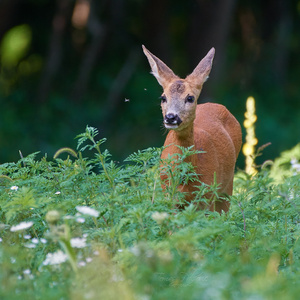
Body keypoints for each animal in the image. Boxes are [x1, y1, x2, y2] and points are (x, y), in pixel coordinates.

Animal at [142, 45, 243, 212]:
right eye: (163, 97)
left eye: (190, 98)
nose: (171, 117)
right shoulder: (169, 195)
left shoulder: (206, 195)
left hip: (227, 185)